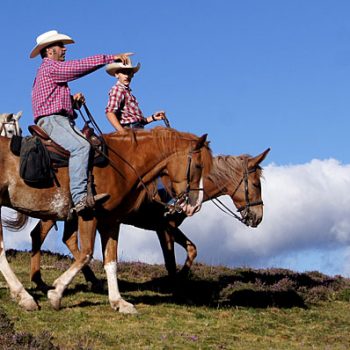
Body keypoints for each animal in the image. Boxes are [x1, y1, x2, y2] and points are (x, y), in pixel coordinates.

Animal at [0, 127, 212, 314]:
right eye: (199, 166)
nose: (195, 205)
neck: (121, 164)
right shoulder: (89, 215)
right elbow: (86, 253)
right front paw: (57, 293)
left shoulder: (111, 221)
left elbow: (111, 261)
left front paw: (118, 301)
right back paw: (25, 296)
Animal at [30, 149, 270, 292]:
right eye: (256, 184)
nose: (258, 217)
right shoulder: (164, 227)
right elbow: (170, 260)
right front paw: (174, 284)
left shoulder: (169, 227)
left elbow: (191, 248)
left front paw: (182, 277)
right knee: (39, 235)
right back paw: (41, 281)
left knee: (66, 239)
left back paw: (89, 280)